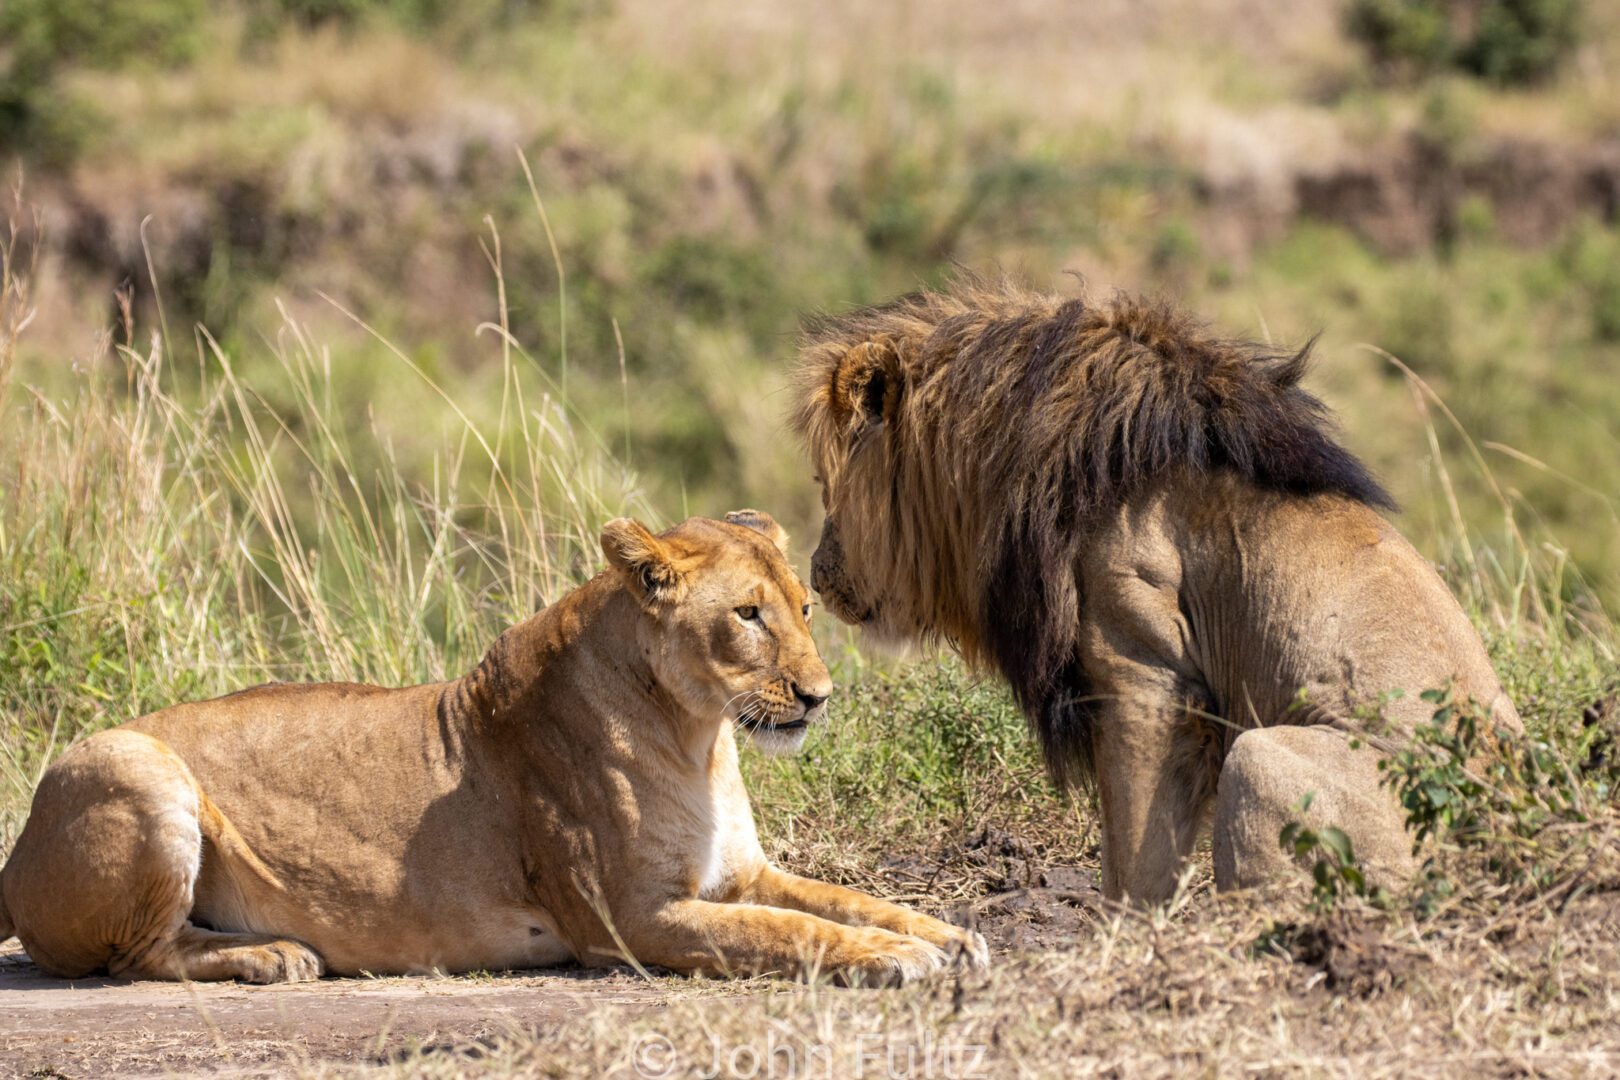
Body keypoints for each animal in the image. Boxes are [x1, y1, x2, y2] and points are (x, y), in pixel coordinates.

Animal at [0, 514, 984, 990]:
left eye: (806, 609)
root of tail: (15, 860)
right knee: (136, 956)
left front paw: (947, 934)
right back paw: (272, 956)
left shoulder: (738, 875)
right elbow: (791, 932)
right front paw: (893, 960)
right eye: (748, 614)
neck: (698, 734)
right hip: (133, 765)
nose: (820, 696)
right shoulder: (632, 920)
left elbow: (845, 900)